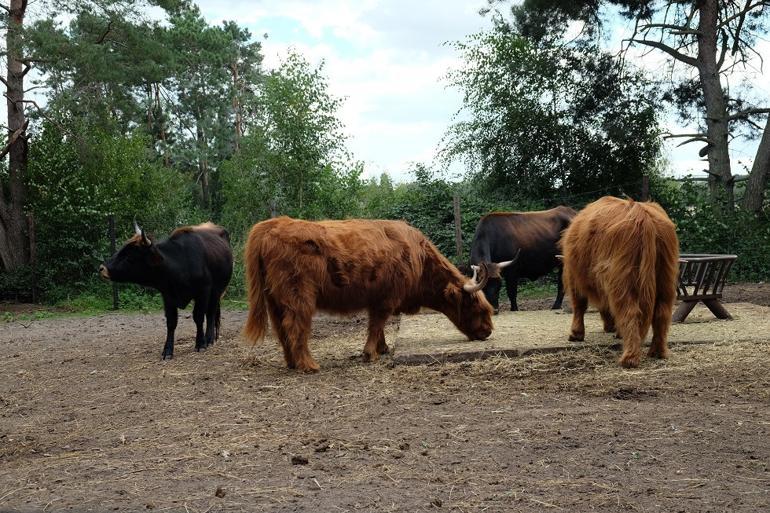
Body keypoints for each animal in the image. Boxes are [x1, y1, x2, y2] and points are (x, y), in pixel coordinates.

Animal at [99, 221, 232, 360]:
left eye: (129, 257)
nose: (102, 268)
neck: (180, 263)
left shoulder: (203, 292)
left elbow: (199, 317)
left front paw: (200, 343)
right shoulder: (168, 296)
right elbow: (171, 323)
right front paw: (168, 350)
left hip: (217, 291)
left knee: (210, 313)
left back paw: (209, 339)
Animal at [243, 215, 500, 368]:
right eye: (476, 305)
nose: (488, 331)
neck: (418, 258)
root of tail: (272, 224)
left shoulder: (376, 298)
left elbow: (378, 326)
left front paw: (382, 348)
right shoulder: (387, 298)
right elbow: (376, 324)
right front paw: (370, 353)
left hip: (274, 299)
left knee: (280, 328)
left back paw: (291, 363)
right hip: (299, 296)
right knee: (295, 326)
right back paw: (308, 365)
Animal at [560, 196, 680, 368]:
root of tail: (642, 216)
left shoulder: (574, 276)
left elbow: (579, 305)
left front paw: (576, 334)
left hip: (623, 278)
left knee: (630, 311)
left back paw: (629, 359)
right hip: (666, 274)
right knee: (662, 312)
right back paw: (657, 352)